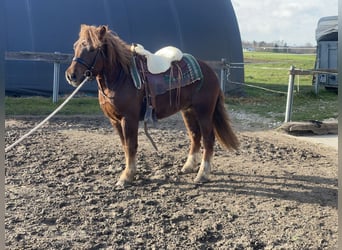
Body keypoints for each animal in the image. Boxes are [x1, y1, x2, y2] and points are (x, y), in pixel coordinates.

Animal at [65, 24, 239, 186]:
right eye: (75, 46)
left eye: (91, 49)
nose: (71, 75)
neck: (121, 77)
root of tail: (210, 71)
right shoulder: (114, 120)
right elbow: (125, 146)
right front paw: (129, 173)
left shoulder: (129, 119)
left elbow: (131, 146)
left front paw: (126, 177)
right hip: (188, 111)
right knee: (195, 136)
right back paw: (188, 167)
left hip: (204, 112)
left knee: (208, 140)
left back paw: (202, 175)